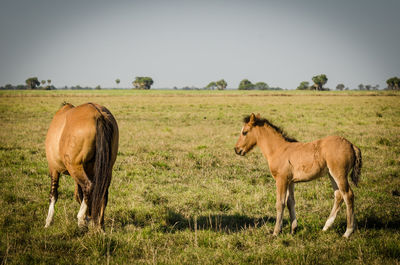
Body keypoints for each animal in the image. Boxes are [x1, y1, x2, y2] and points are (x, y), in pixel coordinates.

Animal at [44, 101, 119, 229]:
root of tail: (98, 114)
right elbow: (79, 194)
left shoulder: (53, 169)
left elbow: (53, 194)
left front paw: (48, 221)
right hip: (106, 168)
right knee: (102, 192)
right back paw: (100, 225)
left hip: (75, 167)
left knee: (88, 187)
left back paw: (80, 219)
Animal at [234, 113, 362, 237]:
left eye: (244, 132)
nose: (237, 149)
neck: (279, 149)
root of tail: (351, 145)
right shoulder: (290, 182)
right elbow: (290, 202)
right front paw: (293, 229)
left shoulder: (281, 180)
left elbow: (280, 203)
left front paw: (276, 232)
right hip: (332, 175)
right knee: (339, 196)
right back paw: (326, 227)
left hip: (339, 175)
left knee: (348, 195)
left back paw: (348, 232)